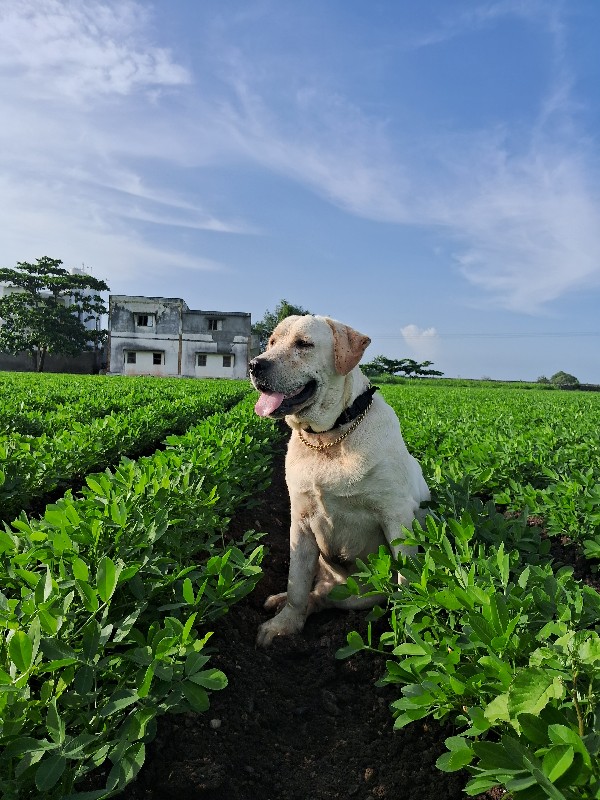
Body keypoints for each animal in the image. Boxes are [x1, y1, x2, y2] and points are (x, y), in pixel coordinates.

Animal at [250, 316, 432, 648]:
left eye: (303, 344)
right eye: (271, 342)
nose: (255, 365)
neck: (329, 439)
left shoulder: (396, 518)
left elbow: (405, 582)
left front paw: (406, 633)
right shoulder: (301, 520)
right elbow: (296, 583)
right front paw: (283, 625)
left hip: (359, 594)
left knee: (324, 599)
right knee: (310, 594)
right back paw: (280, 603)